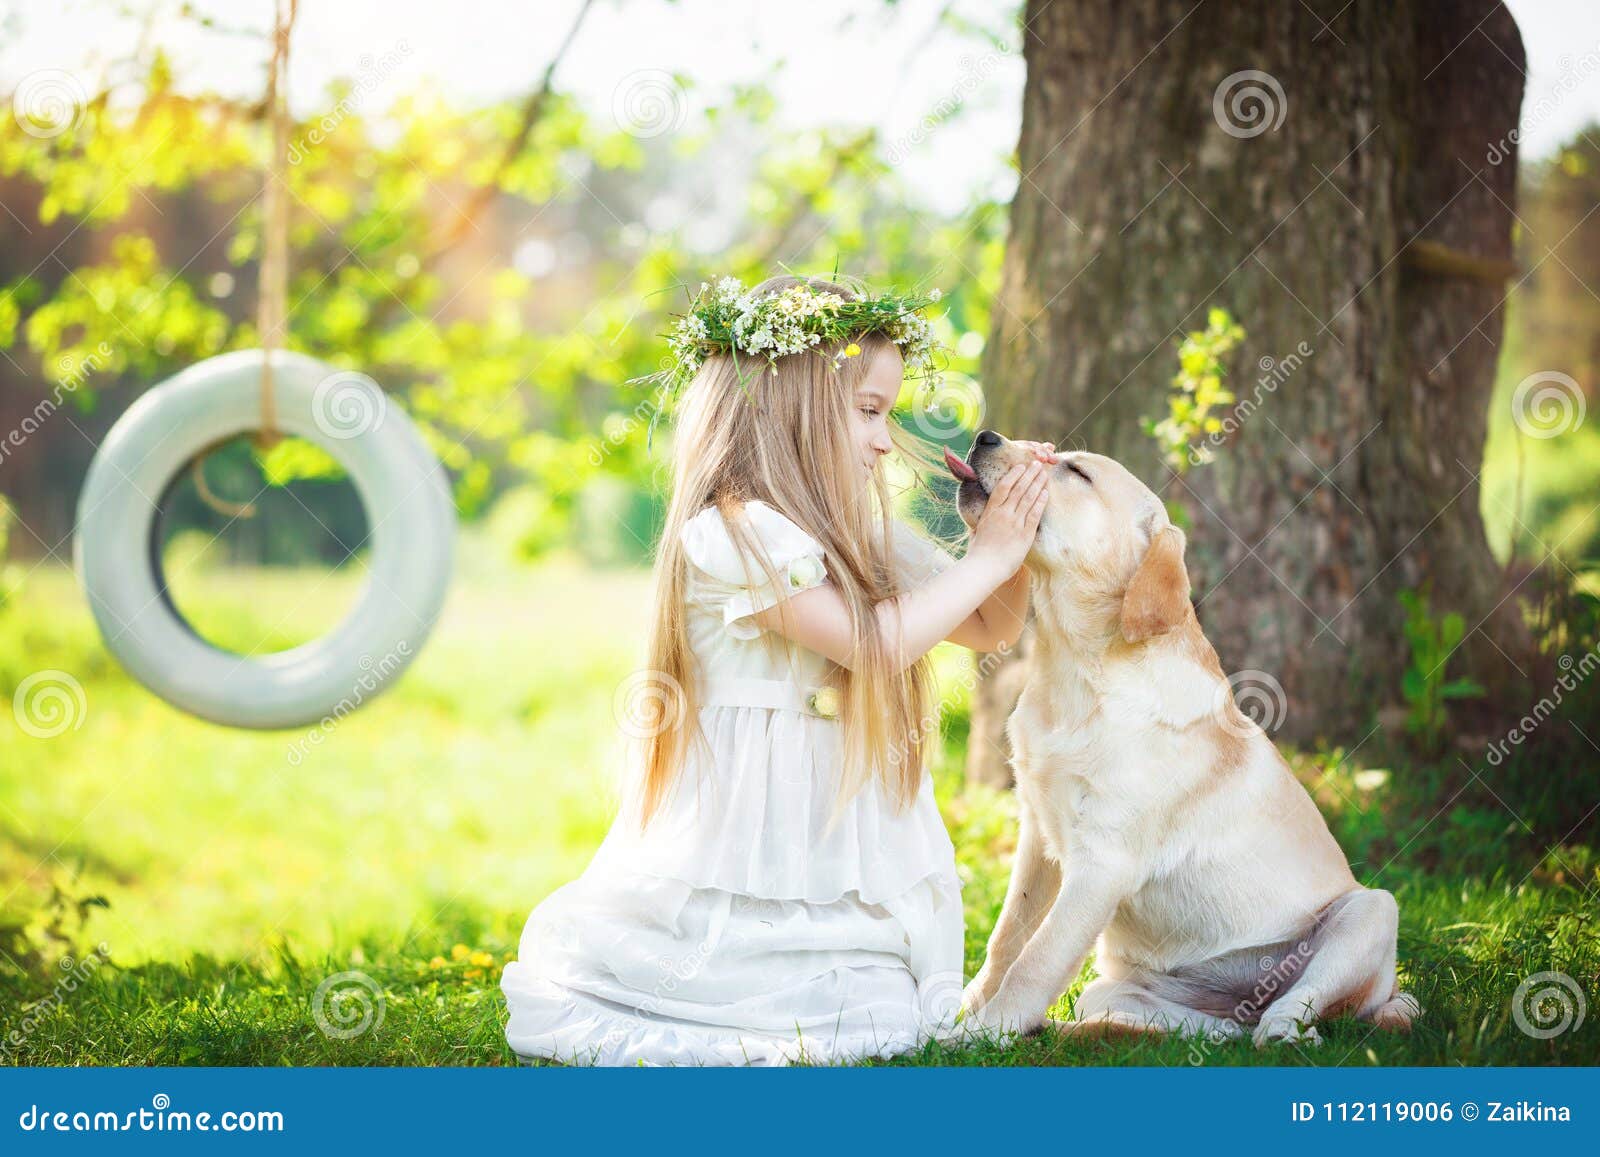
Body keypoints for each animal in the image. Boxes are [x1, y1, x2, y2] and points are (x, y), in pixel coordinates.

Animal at [940, 428, 1420, 1043]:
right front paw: (967, 1012)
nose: (984, 436)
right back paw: (1083, 1029)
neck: (1073, 669)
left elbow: (1037, 959)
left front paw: (980, 1035)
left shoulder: (1102, 863)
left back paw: (1284, 1030)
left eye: (1076, 472)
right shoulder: (1038, 839)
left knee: (1293, 1010)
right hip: (1121, 989)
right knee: (1202, 1032)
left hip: (1370, 912)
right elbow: (1008, 939)